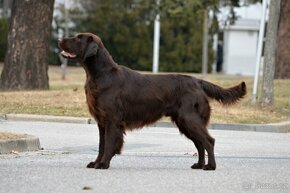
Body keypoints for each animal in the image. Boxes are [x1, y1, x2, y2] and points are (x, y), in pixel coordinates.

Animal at [59, 33, 247, 170]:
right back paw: (199, 165)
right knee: (200, 144)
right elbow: (101, 145)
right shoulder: (101, 122)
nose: (60, 39)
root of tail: (197, 81)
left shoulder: (112, 120)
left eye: (78, 38)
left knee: (208, 141)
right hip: (185, 122)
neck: (101, 75)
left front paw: (103, 164)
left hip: (190, 119)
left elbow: (109, 144)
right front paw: (96, 162)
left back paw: (210, 166)